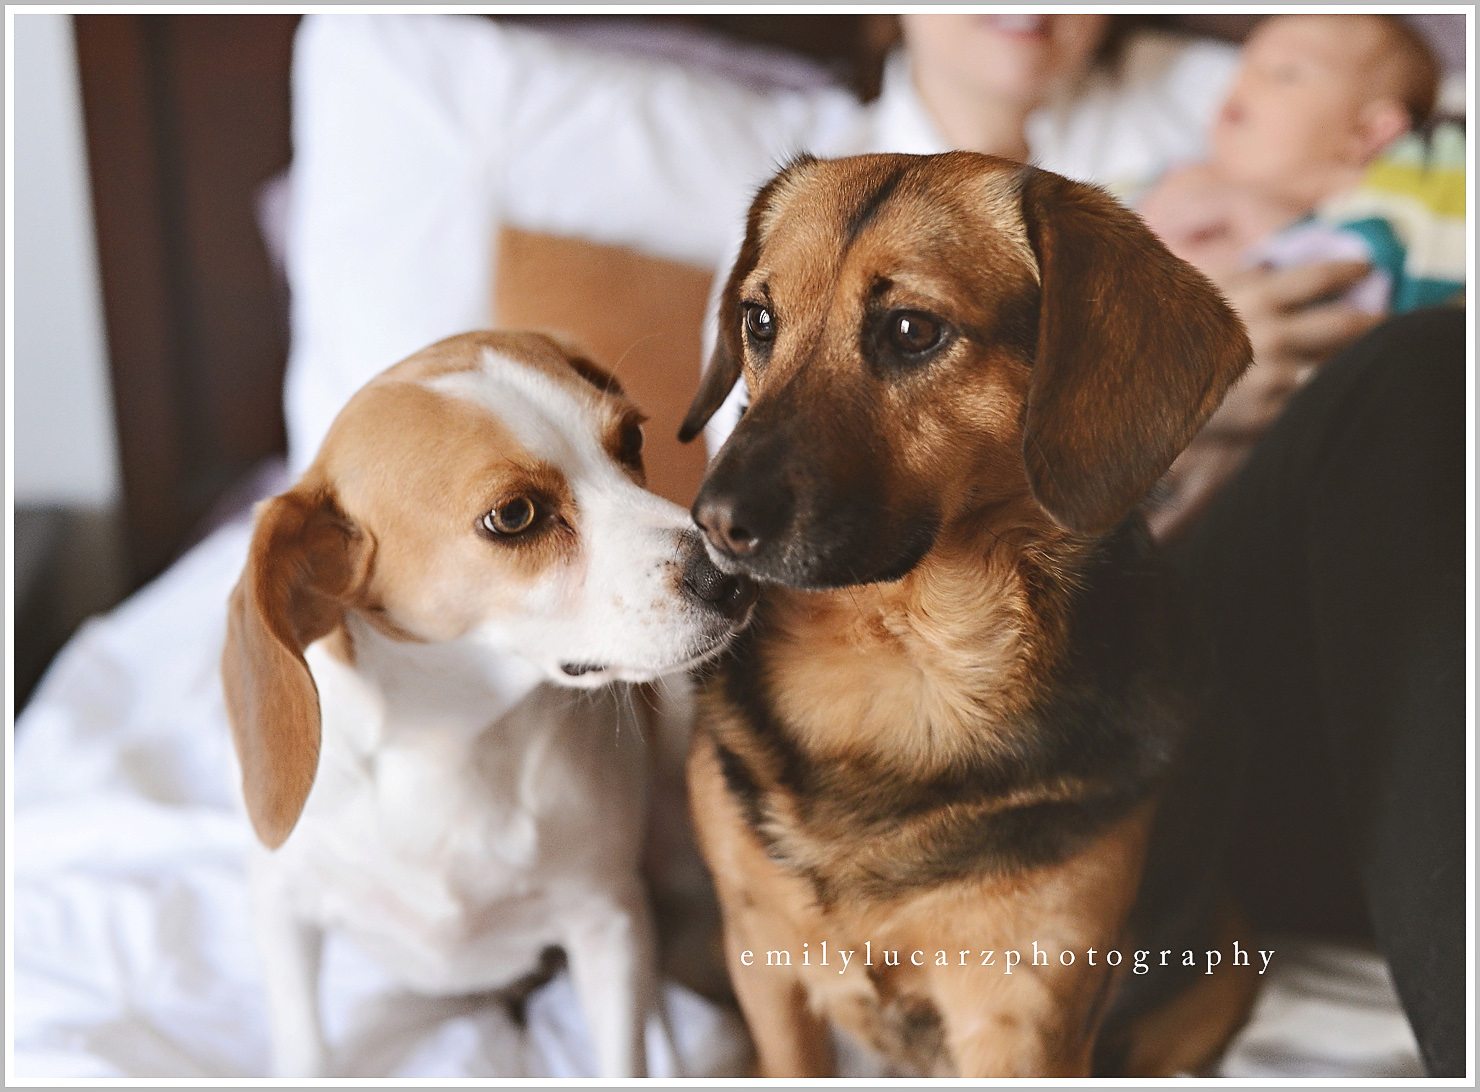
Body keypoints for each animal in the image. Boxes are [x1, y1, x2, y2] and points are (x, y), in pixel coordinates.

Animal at [222, 329, 751, 1071]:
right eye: (514, 516)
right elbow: (305, 1050)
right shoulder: (283, 908)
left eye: (632, 439)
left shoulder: (609, 924)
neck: (453, 747)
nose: (735, 574)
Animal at [677, 150, 1255, 1071]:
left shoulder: (1025, 1011)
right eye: (758, 320)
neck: (901, 660)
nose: (713, 522)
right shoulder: (761, 955)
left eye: (913, 330)